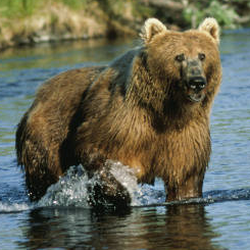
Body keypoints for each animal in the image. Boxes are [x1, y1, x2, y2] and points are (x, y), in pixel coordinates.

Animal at [16, 17, 222, 205]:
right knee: (45, 175)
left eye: (202, 55)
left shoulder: (186, 136)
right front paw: (119, 194)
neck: (166, 111)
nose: (196, 82)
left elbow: (185, 179)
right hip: (48, 134)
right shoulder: (122, 124)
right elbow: (94, 150)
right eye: (179, 56)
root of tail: (38, 97)